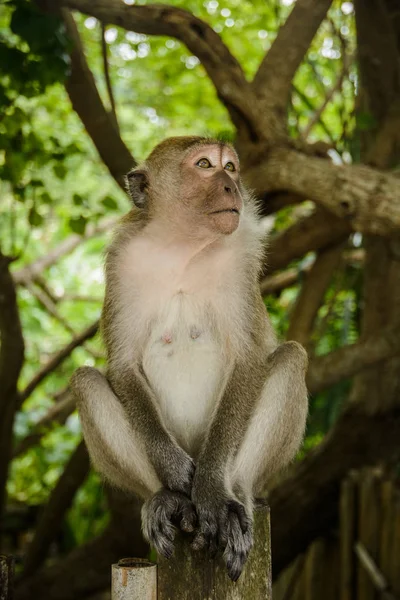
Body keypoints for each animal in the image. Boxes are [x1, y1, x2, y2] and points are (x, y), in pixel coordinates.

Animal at [71, 137, 310, 580]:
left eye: (230, 167)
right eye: (204, 165)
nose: (231, 185)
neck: (182, 244)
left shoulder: (239, 262)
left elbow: (248, 360)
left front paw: (212, 487)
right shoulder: (122, 262)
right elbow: (123, 366)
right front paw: (173, 471)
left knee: (291, 359)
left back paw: (236, 497)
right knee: (85, 380)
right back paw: (166, 498)